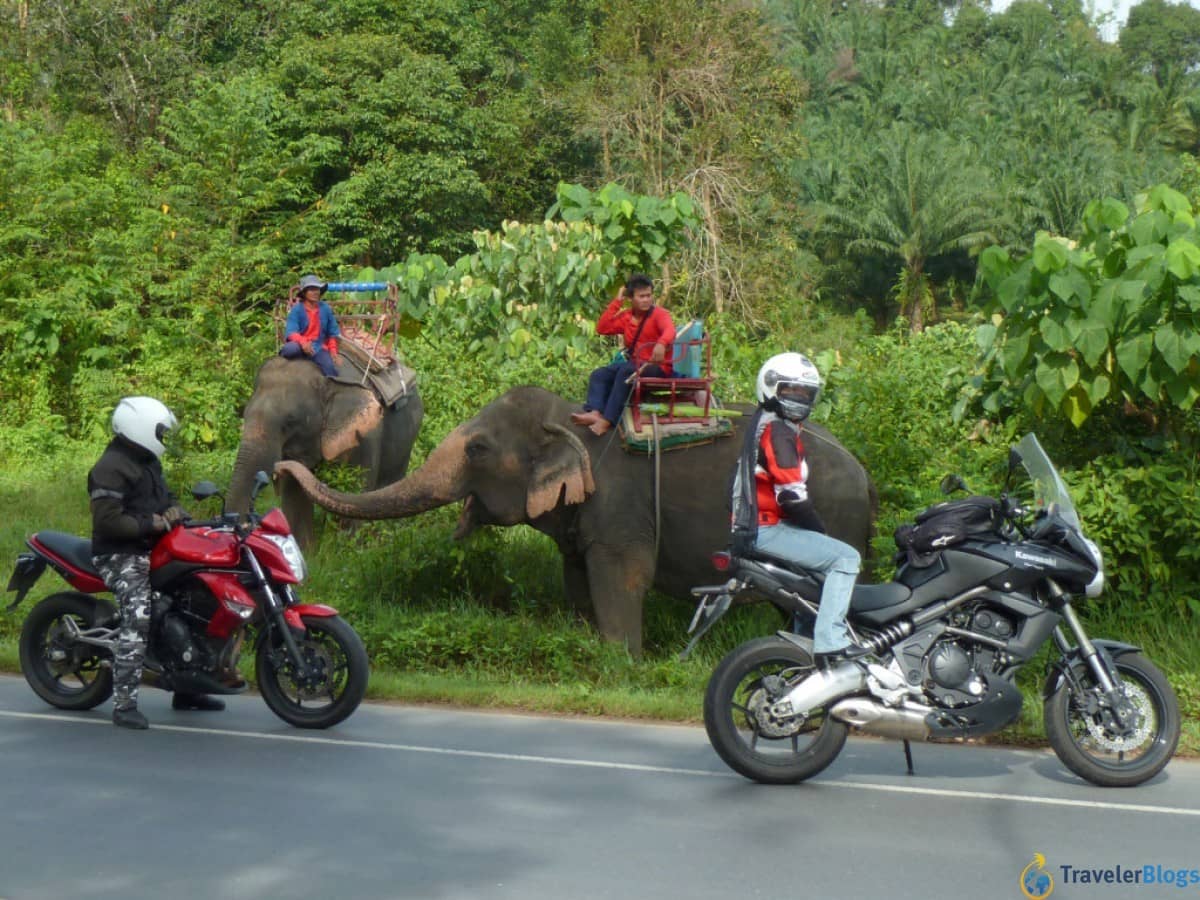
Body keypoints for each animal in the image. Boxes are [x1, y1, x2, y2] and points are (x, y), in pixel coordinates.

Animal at [231, 360, 424, 549]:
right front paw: (306, 552)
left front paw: (348, 552)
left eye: (290, 421)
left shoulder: (366, 437)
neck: (327, 379)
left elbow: (355, 491)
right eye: (245, 413)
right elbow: (294, 494)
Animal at [277, 386, 878, 657]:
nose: (282, 467)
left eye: (477, 449)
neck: (567, 418)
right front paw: (592, 651)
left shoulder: (620, 511)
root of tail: (868, 475)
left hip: (837, 524)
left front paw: (625, 665)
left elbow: (623, 577)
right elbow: (578, 581)